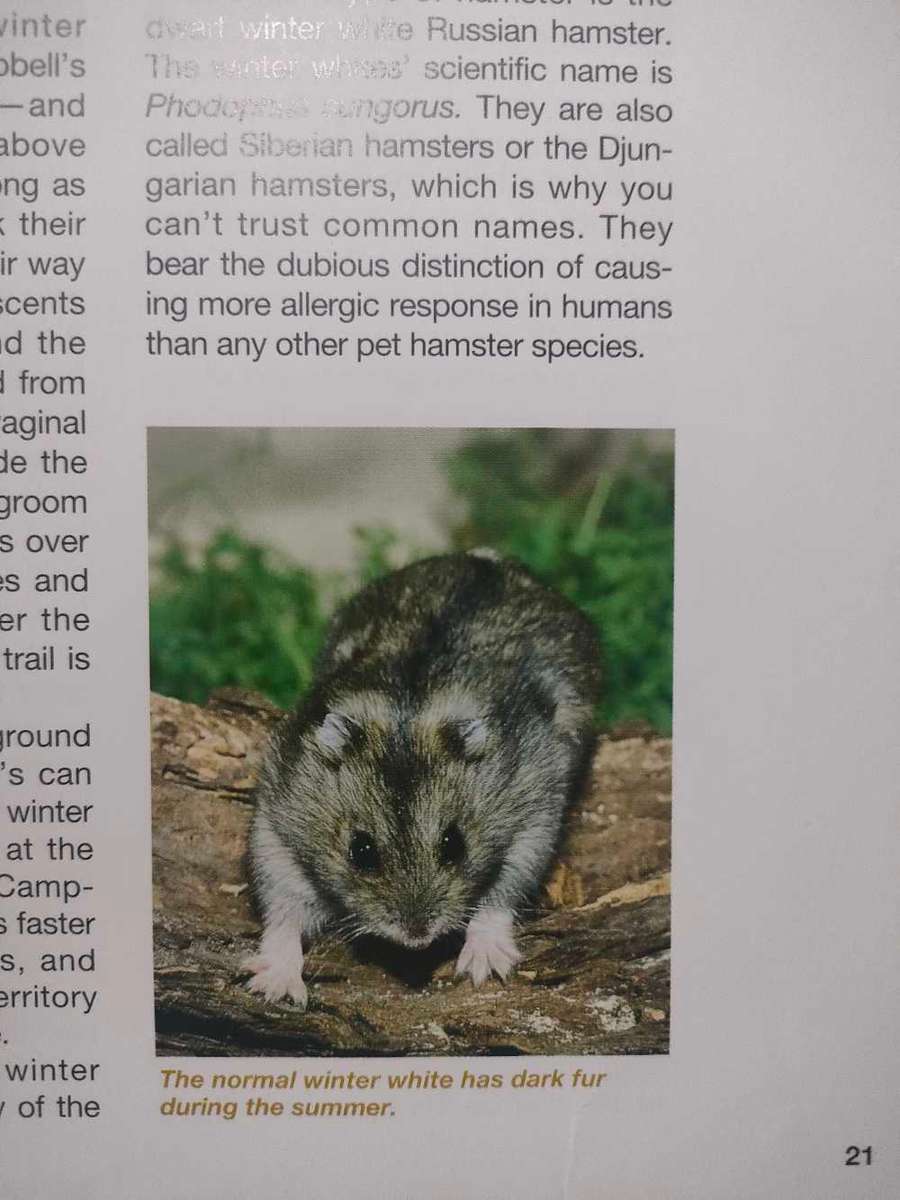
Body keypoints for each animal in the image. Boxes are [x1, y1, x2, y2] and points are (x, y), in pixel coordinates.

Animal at [244, 551, 600, 1007]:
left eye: (454, 844)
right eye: (361, 851)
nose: (417, 937)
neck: (407, 715)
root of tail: (487, 558)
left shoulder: (534, 815)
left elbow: (499, 895)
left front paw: (484, 968)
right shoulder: (276, 824)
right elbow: (284, 912)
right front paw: (275, 989)